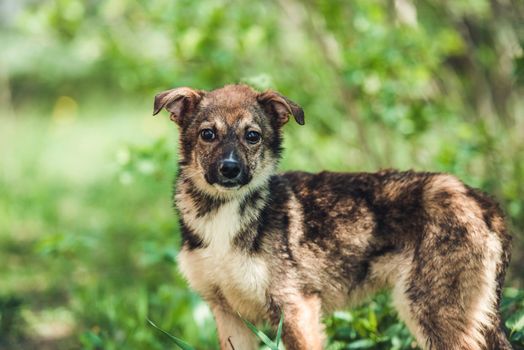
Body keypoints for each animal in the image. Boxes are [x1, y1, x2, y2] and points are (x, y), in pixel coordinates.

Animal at [151, 85, 512, 350]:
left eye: (252, 136)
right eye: (207, 134)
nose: (229, 169)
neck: (225, 215)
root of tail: (482, 201)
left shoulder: (297, 307)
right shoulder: (229, 315)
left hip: (432, 312)